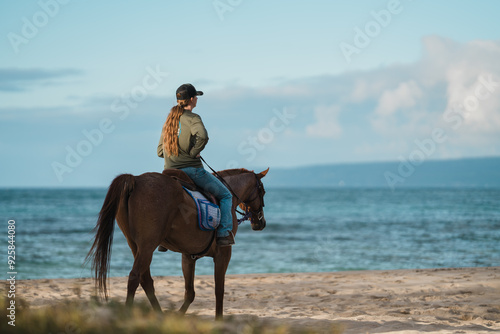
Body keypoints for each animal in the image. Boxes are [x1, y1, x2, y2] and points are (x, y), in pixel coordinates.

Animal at [86, 167, 268, 318]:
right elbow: (219, 289)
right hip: (147, 247)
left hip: (136, 246)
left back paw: (160, 316)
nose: (261, 223)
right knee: (134, 277)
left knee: (146, 280)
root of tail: (136, 180)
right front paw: (219, 319)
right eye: (263, 192)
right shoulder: (224, 253)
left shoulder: (188, 256)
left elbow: (190, 293)